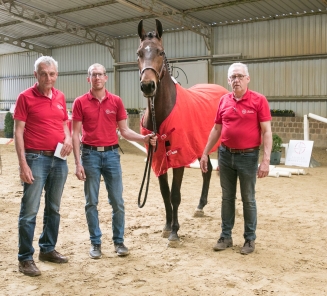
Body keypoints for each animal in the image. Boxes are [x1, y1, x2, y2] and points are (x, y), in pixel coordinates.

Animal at [138, 19, 228, 245]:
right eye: (139, 52)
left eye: (160, 51)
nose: (148, 86)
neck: (161, 114)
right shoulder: (158, 157)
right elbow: (164, 193)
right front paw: (166, 226)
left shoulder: (178, 156)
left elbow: (175, 195)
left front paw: (174, 232)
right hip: (201, 146)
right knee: (207, 171)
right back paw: (200, 207)